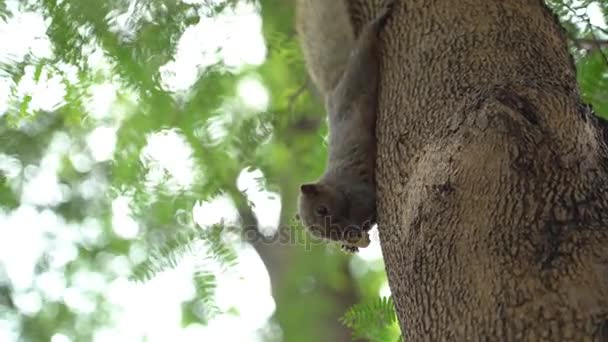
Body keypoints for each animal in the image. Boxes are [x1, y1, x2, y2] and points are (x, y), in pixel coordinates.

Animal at [296, 0, 394, 251]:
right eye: (317, 233)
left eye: (322, 209)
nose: (341, 234)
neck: (336, 188)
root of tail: (333, 91)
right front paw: (350, 243)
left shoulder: (357, 190)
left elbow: (370, 204)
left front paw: (357, 232)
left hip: (360, 68)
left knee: (366, 43)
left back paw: (378, 21)